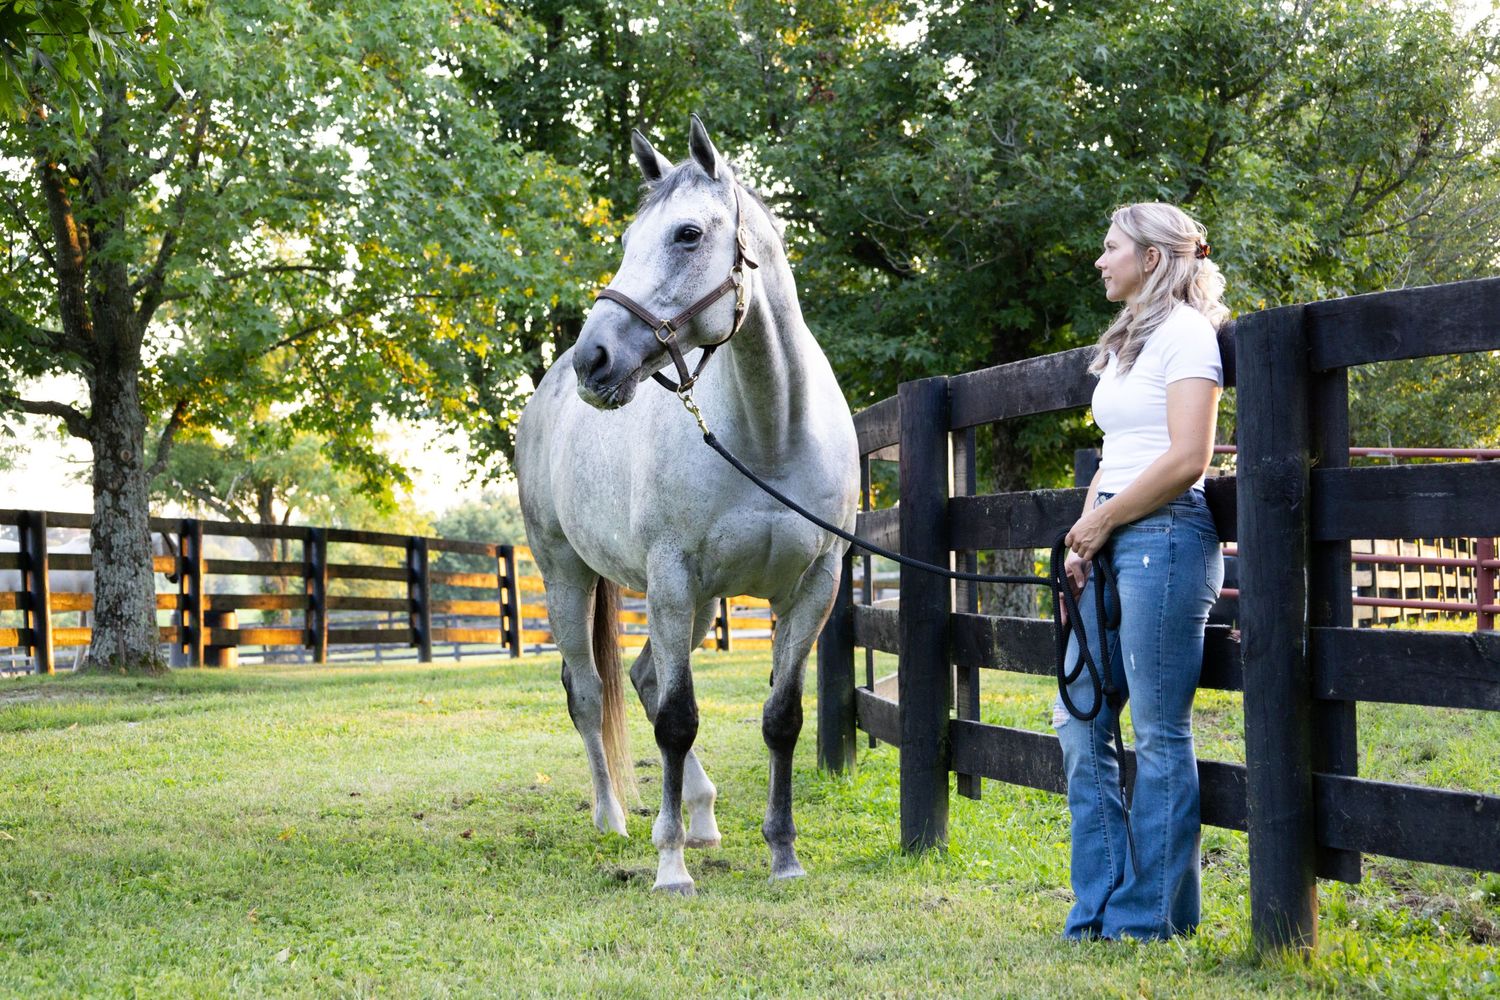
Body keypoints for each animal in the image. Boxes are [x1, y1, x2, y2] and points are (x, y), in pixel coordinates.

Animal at [515, 116, 859, 894]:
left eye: (688, 234)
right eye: (626, 239)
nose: (594, 359)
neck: (769, 432)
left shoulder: (812, 588)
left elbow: (781, 719)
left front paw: (783, 855)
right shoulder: (670, 579)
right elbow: (677, 720)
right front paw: (669, 866)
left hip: (699, 607)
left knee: (641, 676)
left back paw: (702, 815)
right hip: (567, 575)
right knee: (589, 691)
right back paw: (614, 818)